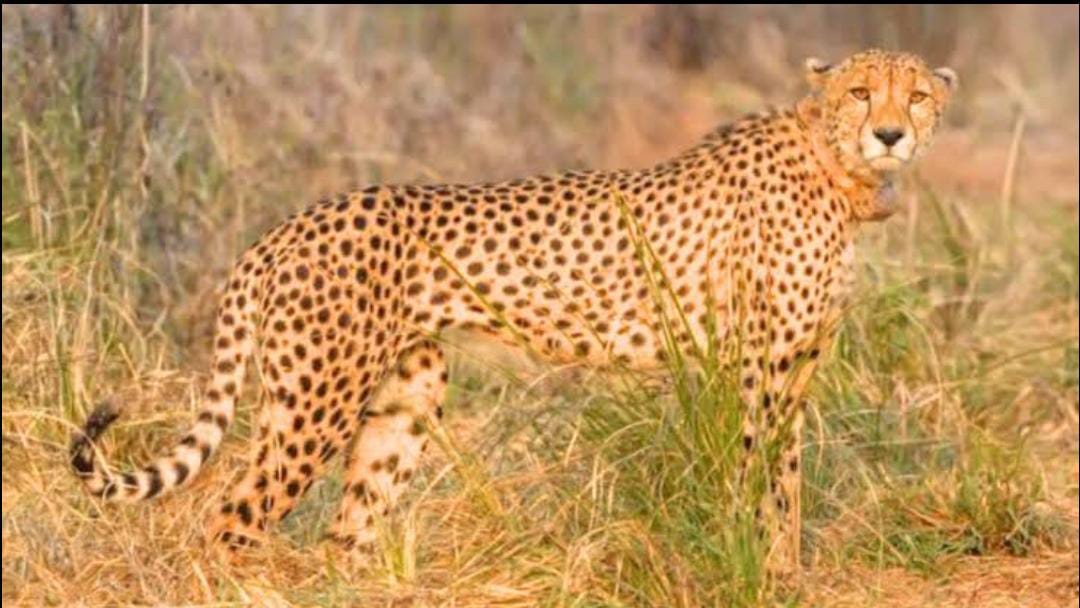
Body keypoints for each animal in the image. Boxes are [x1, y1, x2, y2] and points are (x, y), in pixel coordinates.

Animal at [70, 49, 957, 573]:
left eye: (915, 95)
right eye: (859, 93)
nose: (890, 134)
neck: (838, 167)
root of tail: (290, 223)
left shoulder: (795, 368)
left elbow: (789, 484)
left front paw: (784, 573)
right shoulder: (759, 370)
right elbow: (760, 479)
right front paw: (760, 568)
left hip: (406, 399)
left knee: (343, 535)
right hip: (314, 403)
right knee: (229, 520)